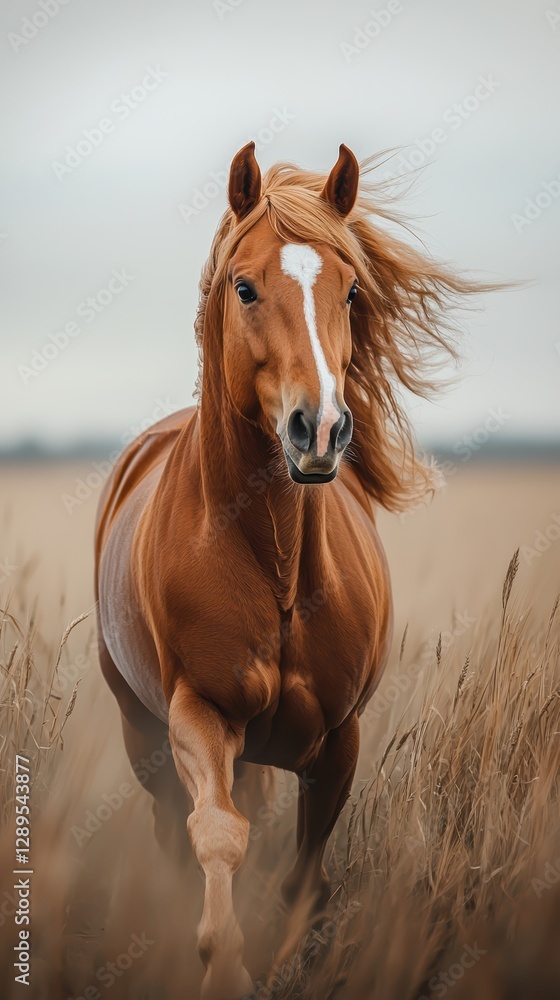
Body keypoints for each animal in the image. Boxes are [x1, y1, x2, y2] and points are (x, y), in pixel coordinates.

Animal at [95, 141, 481, 999]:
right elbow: (216, 837)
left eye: (351, 289)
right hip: (142, 736)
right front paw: (222, 961)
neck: (275, 565)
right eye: (244, 287)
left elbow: (308, 880)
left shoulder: (338, 741)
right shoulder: (197, 715)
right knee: (175, 834)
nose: (322, 428)